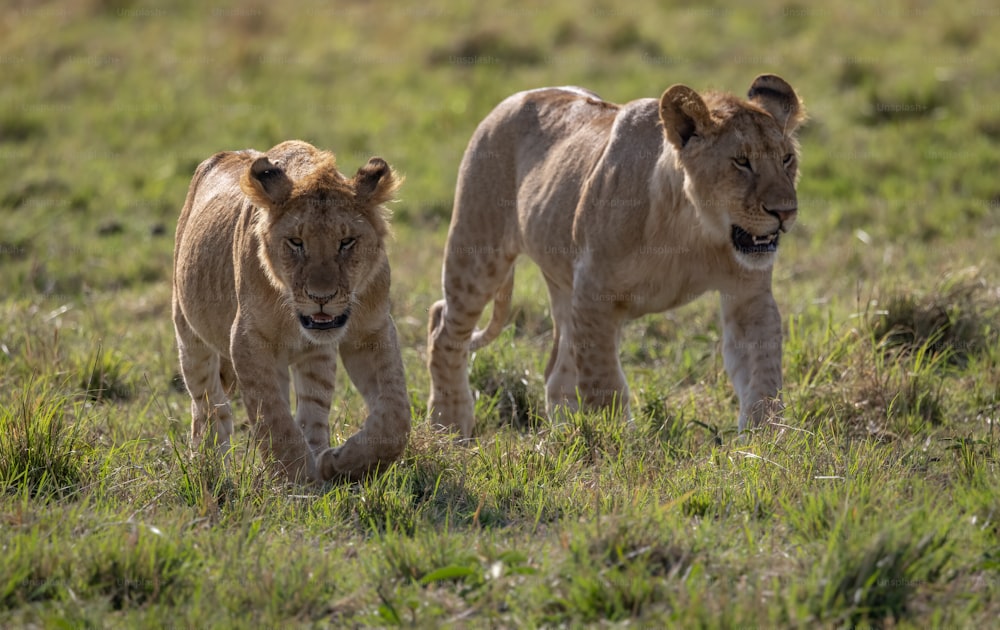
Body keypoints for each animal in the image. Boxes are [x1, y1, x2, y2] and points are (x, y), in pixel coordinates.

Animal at [172, 139, 410, 484]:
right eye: (296, 242)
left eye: (346, 241)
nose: (320, 297)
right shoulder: (249, 340)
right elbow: (275, 421)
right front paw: (298, 481)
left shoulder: (371, 330)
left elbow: (395, 418)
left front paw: (338, 463)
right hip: (189, 335)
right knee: (209, 406)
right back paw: (206, 464)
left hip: (316, 359)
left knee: (313, 412)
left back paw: (321, 456)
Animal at [428, 75, 804, 440]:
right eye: (741, 162)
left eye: (787, 159)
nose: (785, 212)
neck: (693, 232)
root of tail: (517, 96)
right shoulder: (595, 293)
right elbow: (604, 385)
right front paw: (615, 446)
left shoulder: (748, 295)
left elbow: (762, 374)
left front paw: (765, 442)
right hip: (477, 250)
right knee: (443, 328)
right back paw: (448, 426)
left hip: (562, 285)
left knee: (557, 370)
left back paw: (559, 437)